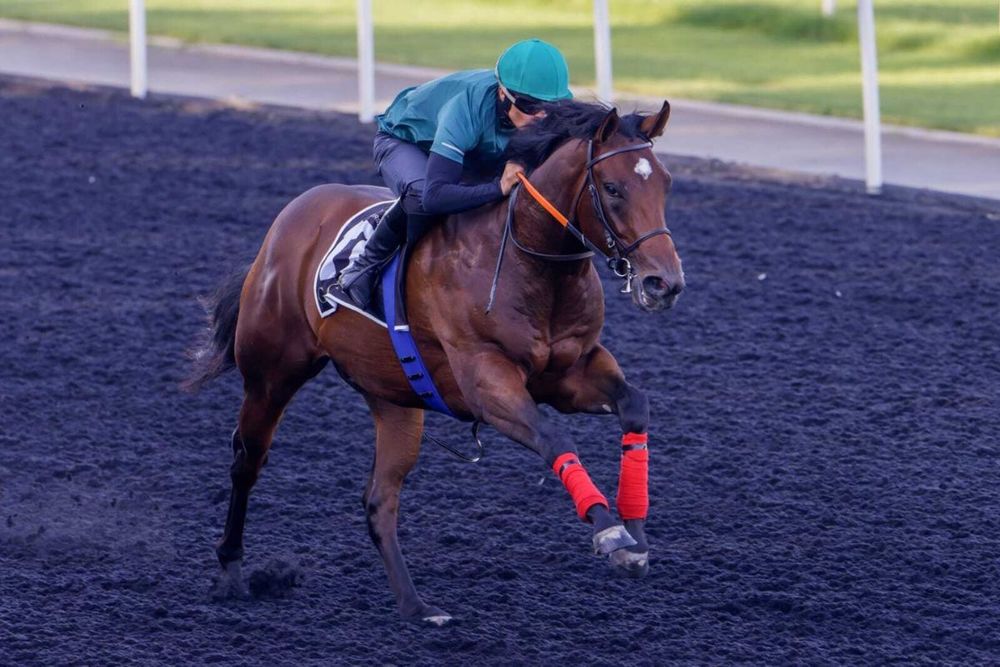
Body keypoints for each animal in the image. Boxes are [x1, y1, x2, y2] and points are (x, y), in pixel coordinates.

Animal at [187, 99, 684, 625]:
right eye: (612, 188)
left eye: (666, 182)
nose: (664, 283)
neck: (528, 261)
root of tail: (287, 223)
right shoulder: (485, 380)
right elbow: (554, 436)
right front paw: (610, 530)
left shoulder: (570, 373)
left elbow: (635, 406)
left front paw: (636, 533)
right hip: (271, 375)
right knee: (247, 461)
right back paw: (231, 573)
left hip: (394, 399)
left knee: (379, 500)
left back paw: (416, 605)